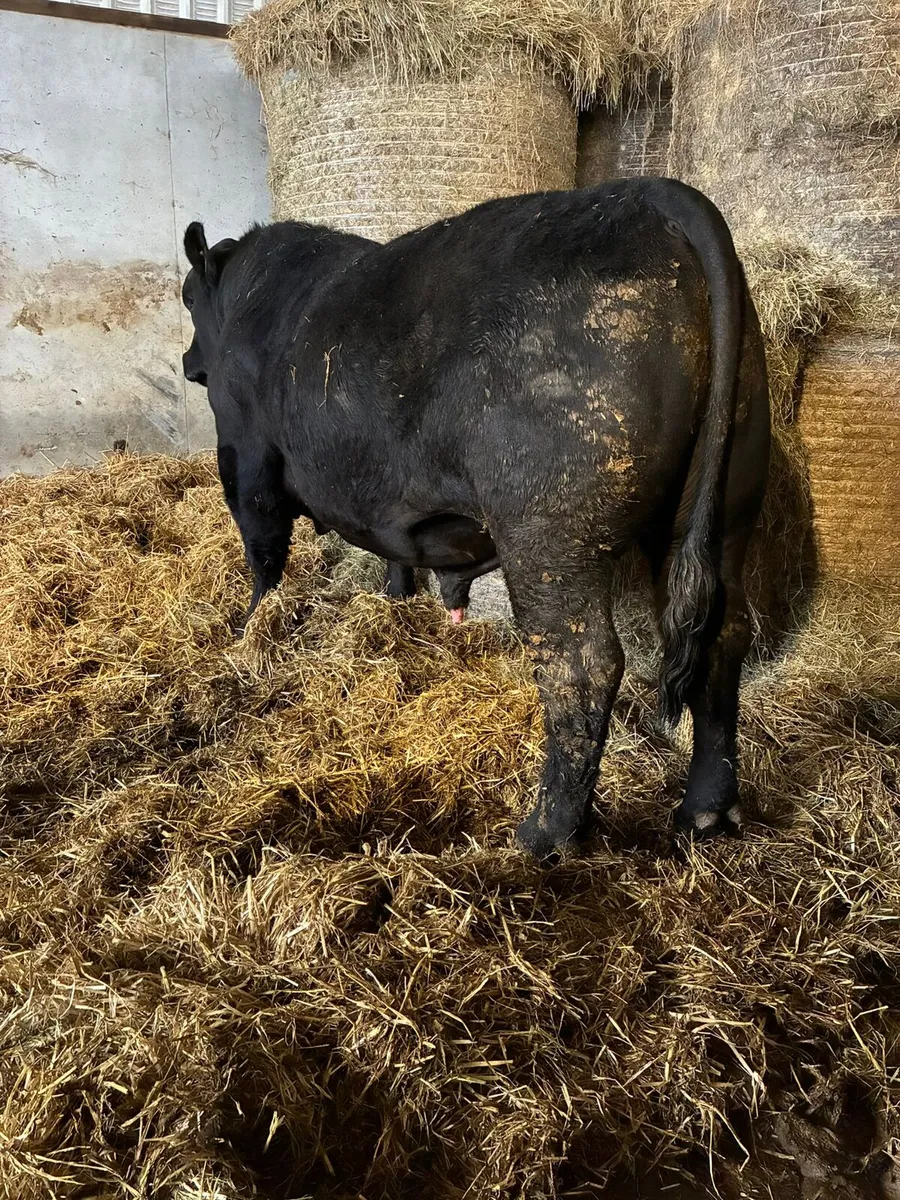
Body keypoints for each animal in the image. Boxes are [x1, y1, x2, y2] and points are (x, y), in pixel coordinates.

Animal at [180, 178, 770, 857]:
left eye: (188, 297)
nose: (189, 363)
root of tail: (655, 195)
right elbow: (393, 558)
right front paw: (394, 604)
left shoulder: (245, 456)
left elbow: (263, 554)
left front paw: (248, 631)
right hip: (728, 501)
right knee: (724, 637)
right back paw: (706, 812)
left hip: (548, 532)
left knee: (581, 664)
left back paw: (542, 836)